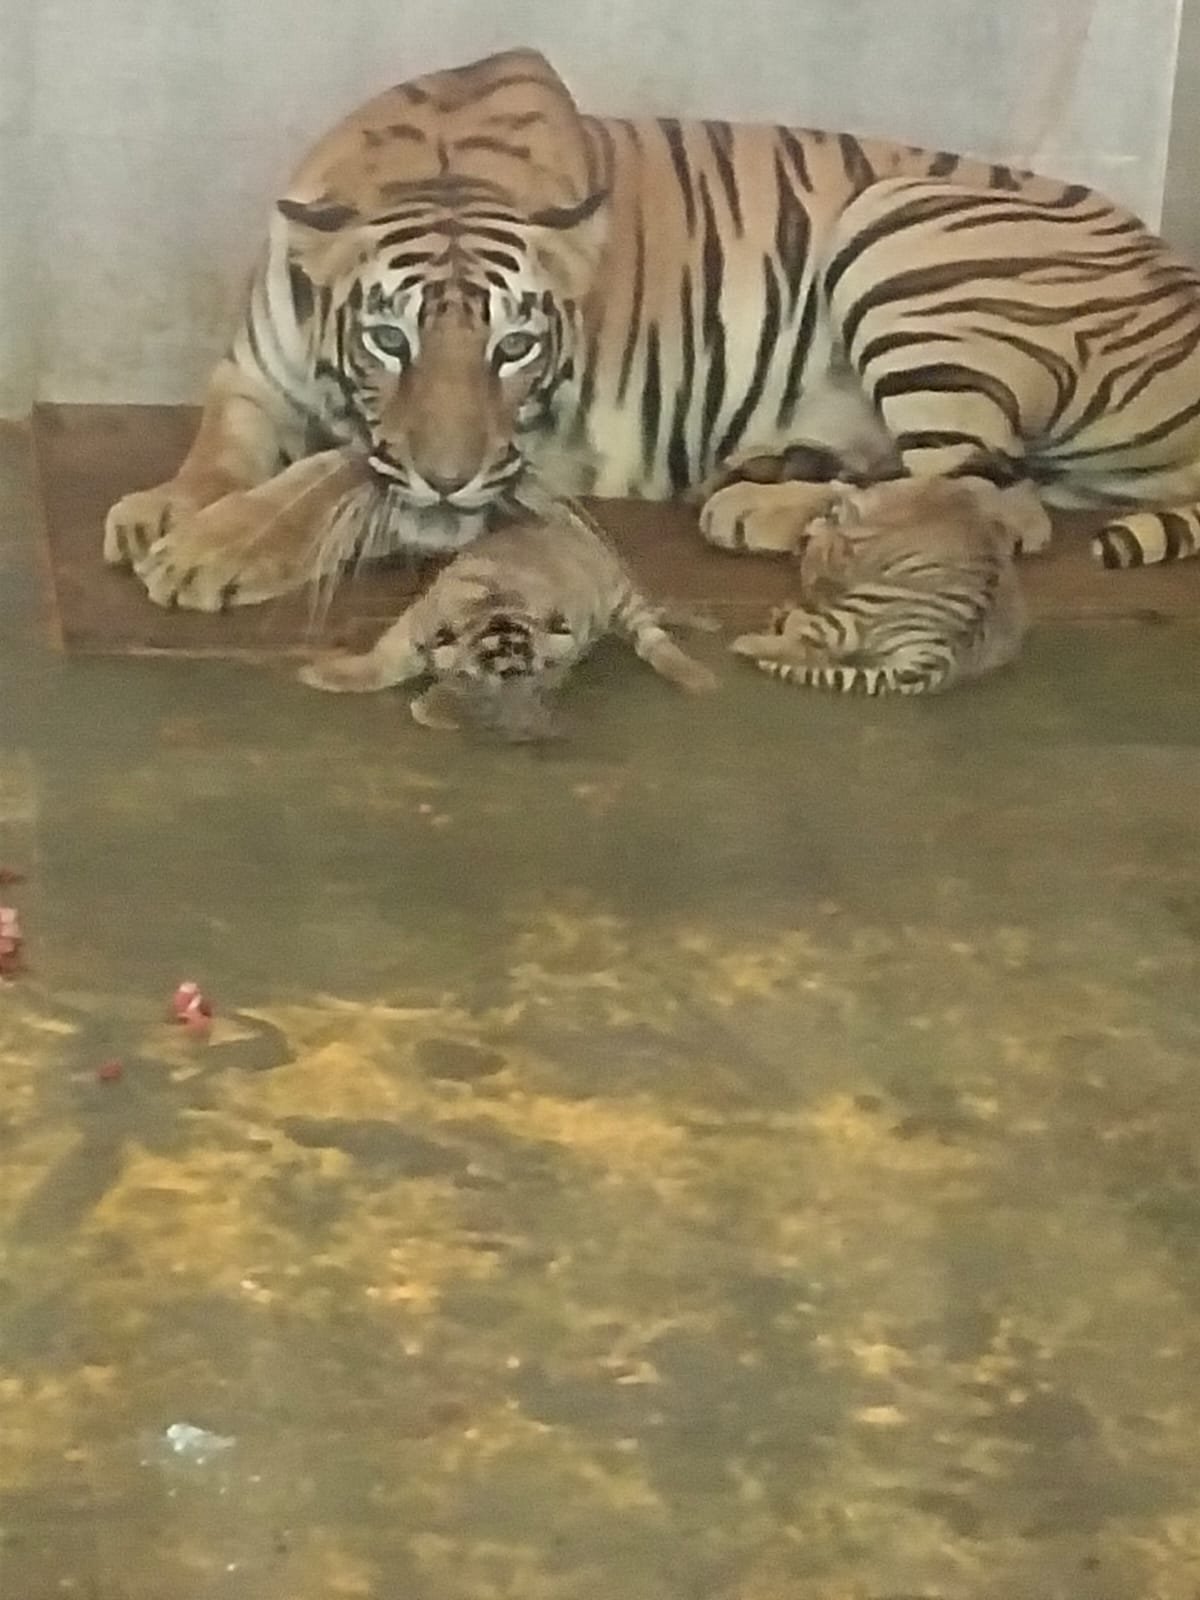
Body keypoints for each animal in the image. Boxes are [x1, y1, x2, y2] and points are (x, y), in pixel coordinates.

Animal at [102, 46, 1200, 615]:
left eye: (515, 349)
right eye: (389, 340)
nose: (452, 481)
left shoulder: (523, 450)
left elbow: (329, 474)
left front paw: (212, 550)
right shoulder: (252, 375)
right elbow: (220, 448)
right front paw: (164, 508)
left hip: (906, 231)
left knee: (999, 505)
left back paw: (768, 512)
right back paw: (783, 478)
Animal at [297, 491, 716, 735]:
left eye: (531, 676)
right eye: (481, 678)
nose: (526, 726)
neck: (495, 604)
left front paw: (434, 707)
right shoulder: (413, 625)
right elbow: (381, 659)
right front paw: (323, 673)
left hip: (624, 600)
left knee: (653, 636)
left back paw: (697, 673)